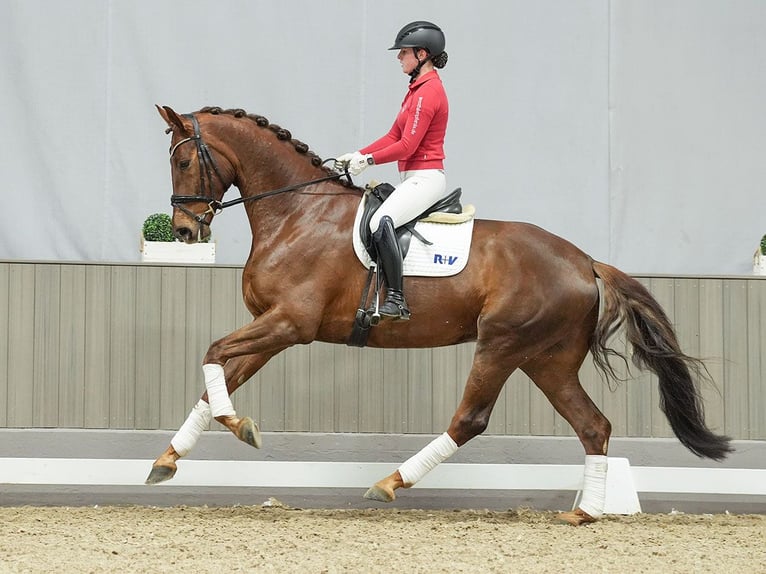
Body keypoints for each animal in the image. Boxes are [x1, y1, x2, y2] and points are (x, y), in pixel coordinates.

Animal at [148, 106, 732, 528]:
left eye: (183, 162)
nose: (184, 231)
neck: (299, 213)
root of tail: (586, 261)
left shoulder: (291, 324)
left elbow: (213, 355)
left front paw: (240, 428)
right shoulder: (272, 329)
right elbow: (216, 381)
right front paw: (169, 459)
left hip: (502, 345)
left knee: (471, 419)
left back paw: (390, 483)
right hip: (547, 359)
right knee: (593, 425)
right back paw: (584, 512)